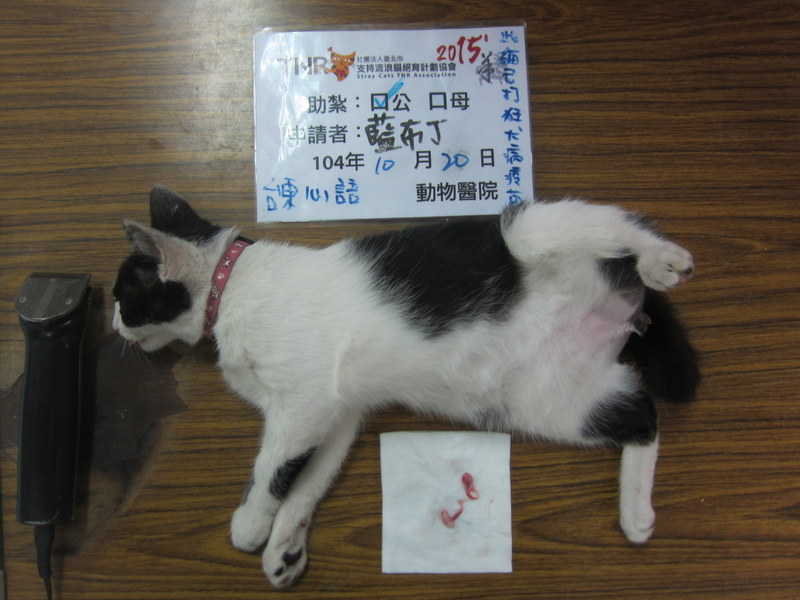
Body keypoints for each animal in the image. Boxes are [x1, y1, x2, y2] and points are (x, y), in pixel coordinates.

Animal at [113, 186, 699, 587]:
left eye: (123, 297)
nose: (113, 325)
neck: (230, 285)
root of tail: (621, 303)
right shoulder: (338, 413)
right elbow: (309, 479)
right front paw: (285, 544)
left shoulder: (304, 405)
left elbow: (272, 468)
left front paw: (253, 522)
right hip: (544, 398)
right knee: (642, 415)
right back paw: (635, 513)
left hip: (528, 231)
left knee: (613, 222)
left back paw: (662, 258)